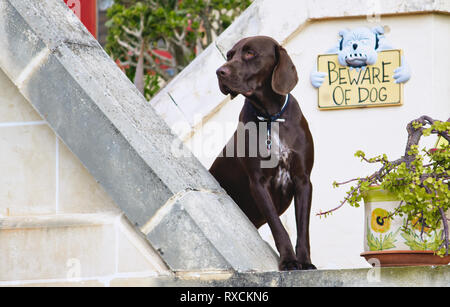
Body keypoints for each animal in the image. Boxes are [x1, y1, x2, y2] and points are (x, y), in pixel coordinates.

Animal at [209, 36, 314, 272]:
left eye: (250, 53)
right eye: (229, 55)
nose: (220, 72)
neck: (271, 117)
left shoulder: (303, 180)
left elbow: (303, 229)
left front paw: (305, 262)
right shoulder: (258, 184)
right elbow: (278, 228)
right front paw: (289, 261)